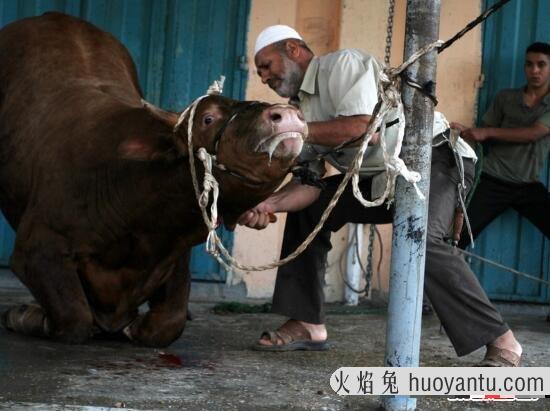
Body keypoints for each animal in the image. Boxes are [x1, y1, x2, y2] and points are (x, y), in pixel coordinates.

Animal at [0, 12, 306, 348]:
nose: (284, 114)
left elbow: (166, 325)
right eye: (207, 118)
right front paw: (25, 315)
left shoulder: (174, 255)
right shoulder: (37, 249)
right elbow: (74, 318)